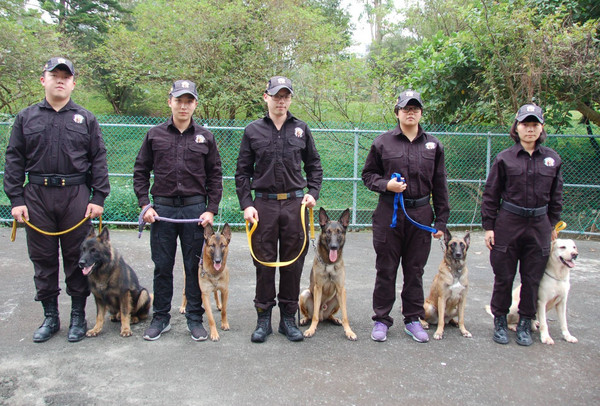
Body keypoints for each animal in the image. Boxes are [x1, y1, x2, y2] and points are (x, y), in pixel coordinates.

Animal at [298, 208, 356, 340]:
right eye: (328, 232)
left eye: (339, 232)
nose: (333, 247)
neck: (329, 264)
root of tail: (322, 314)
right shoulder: (318, 288)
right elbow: (314, 316)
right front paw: (311, 330)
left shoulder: (341, 289)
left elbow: (345, 316)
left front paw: (349, 331)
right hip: (304, 294)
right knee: (311, 315)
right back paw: (304, 320)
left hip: (339, 297)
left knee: (329, 315)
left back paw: (335, 319)